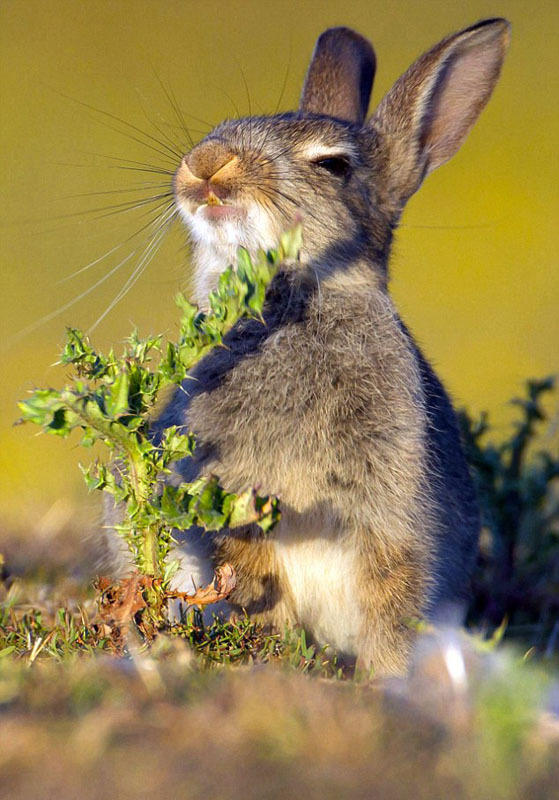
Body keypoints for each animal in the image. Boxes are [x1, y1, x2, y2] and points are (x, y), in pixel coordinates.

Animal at [107, 17, 510, 676]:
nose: (205, 165)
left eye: (333, 165)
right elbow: (250, 576)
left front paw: (385, 678)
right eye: (219, 129)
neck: (287, 304)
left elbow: (391, 599)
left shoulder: (391, 517)